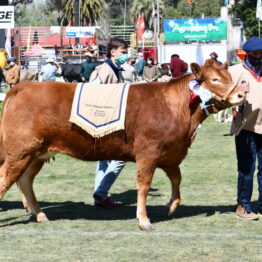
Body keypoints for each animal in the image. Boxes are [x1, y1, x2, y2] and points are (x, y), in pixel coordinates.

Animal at [0, 59, 246, 229]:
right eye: (214, 80)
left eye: (228, 75)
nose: (242, 94)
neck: (176, 107)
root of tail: (22, 87)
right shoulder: (148, 154)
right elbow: (144, 185)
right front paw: (144, 220)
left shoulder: (170, 154)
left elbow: (177, 179)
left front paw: (171, 206)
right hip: (20, 152)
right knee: (6, 179)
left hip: (35, 154)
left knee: (25, 181)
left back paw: (41, 215)